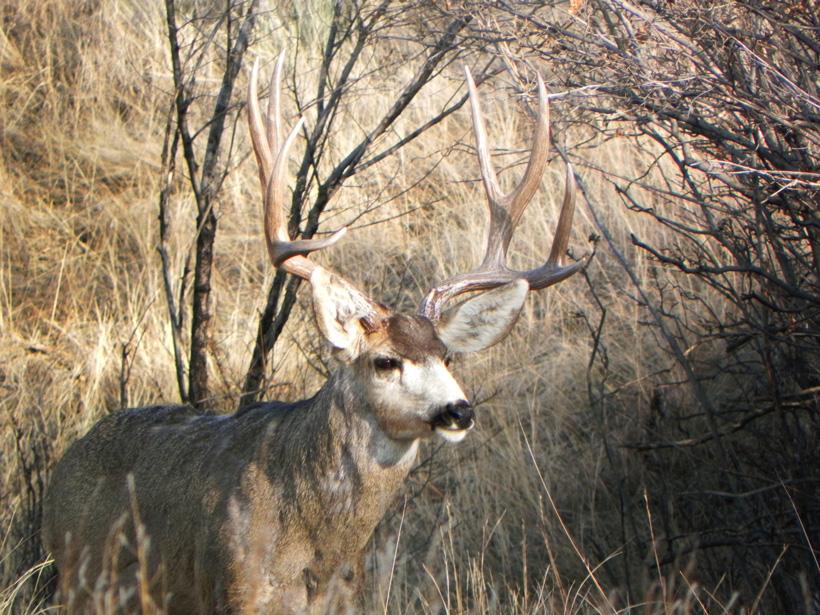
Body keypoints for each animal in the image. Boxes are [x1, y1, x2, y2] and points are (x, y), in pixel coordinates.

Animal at [42, 53, 586, 614]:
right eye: (385, 360)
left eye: (448, 357)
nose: (458, 410)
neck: (319, 547)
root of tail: (65, 462)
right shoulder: (233, 589)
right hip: (82, 582)